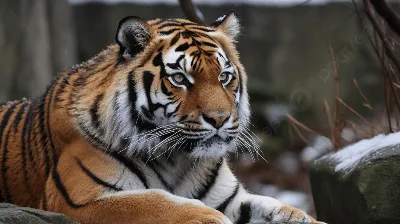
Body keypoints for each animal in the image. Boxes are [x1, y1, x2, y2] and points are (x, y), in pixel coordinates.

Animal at [0, 11, 322, 224]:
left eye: (224, 77)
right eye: (180, 78)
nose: (219, 119)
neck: (177, 160)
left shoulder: (231, 199)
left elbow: (276, 207)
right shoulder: (77, 200)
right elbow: (160, 203)